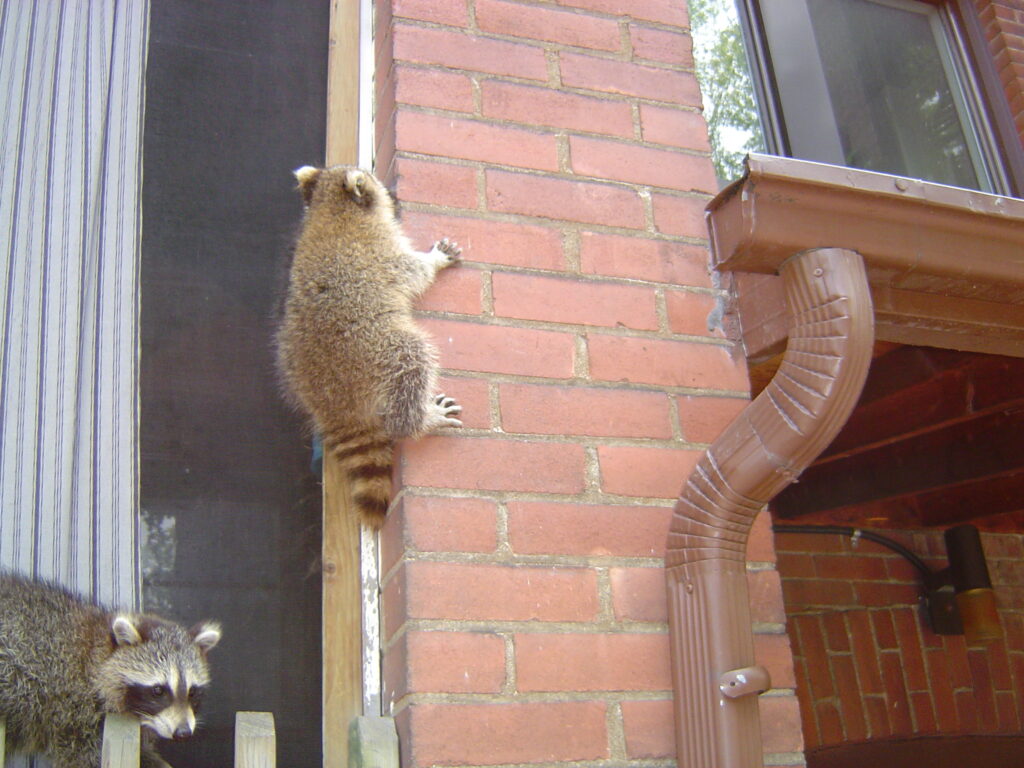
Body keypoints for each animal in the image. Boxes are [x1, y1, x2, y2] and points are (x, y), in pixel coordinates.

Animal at [274, 165, 462, 528]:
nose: (392, 191)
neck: (330, 208)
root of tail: (331, 402)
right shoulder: (384, 252)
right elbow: (414, 271)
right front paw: (434, 260)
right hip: (376, 351)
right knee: (413, 357)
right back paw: (419, 420)